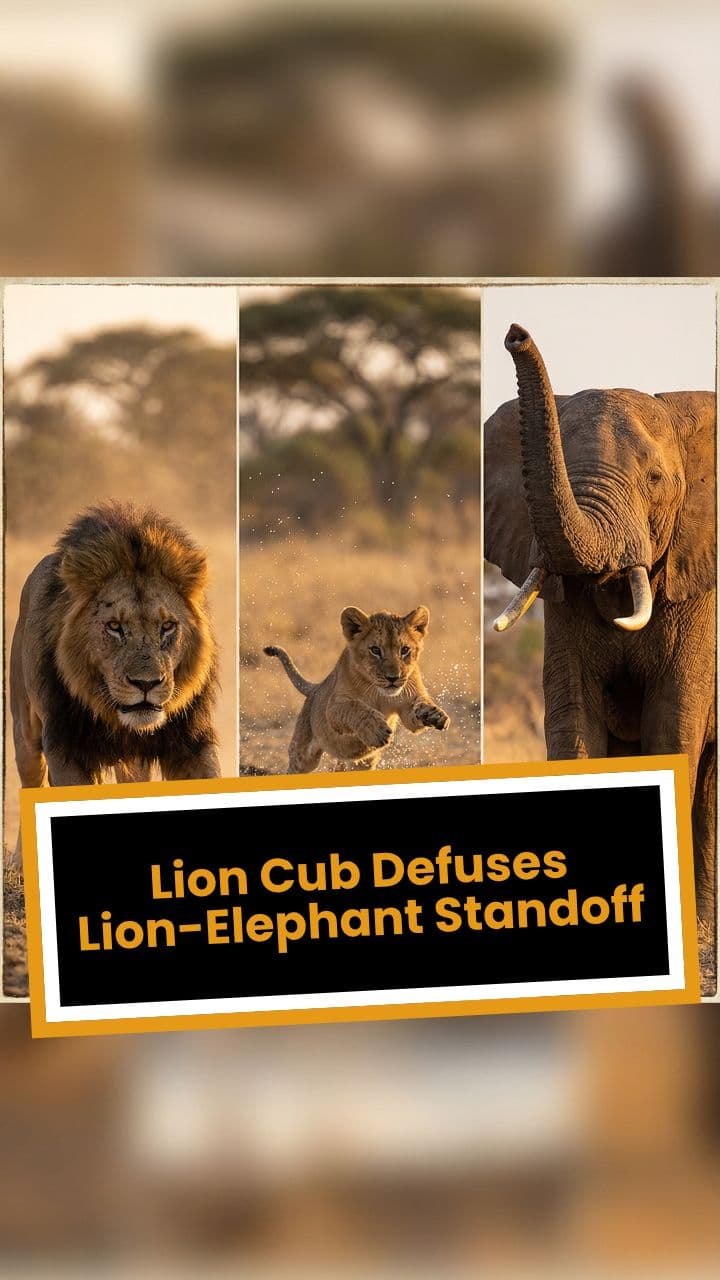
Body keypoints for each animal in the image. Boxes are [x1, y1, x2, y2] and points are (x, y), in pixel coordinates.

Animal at [8, 501, 221, 867]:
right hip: (25, 726)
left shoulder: (191, 741)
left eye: (167, 626)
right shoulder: (67, 746)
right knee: (31, 779)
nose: (146, 683)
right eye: (114, 627)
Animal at [264, 605, 450, 773]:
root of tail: (316, 688)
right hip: (303, 755)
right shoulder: (334, 707)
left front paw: (434, 714)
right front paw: (377, 730)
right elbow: (356, 709)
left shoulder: (408, 703)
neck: (379, 693)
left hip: (360, 763)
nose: (393, 678)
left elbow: (418, 709)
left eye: (404, 650)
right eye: (375, 650)